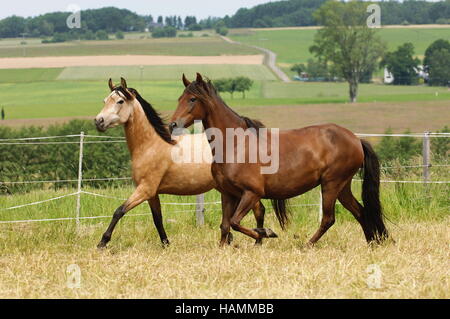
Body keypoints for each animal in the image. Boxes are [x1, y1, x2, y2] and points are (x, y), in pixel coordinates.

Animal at [93, 79, 266, 249]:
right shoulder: (152, 194)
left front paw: (103, 242)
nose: (98, 121)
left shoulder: (145, 189)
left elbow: (119, 211)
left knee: (259, 210)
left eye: (120, 101)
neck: (151, 145)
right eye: (105, 101)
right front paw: (166, 244)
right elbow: (157, 219)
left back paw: (258, 240)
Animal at [169, 73, 390, 248]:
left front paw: (266, 233)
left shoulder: (251, 193)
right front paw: (227, 246)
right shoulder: (228, 194)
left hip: (331, 184)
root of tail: (356, 139)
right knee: (361, 212)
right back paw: (372, 243)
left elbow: (235, 222)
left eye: (193, 99)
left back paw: (307, 245)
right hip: (342, 187)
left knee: (328, 219)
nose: (173, 125)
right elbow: (225, 224)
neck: (236, 145)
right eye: (180, 98)